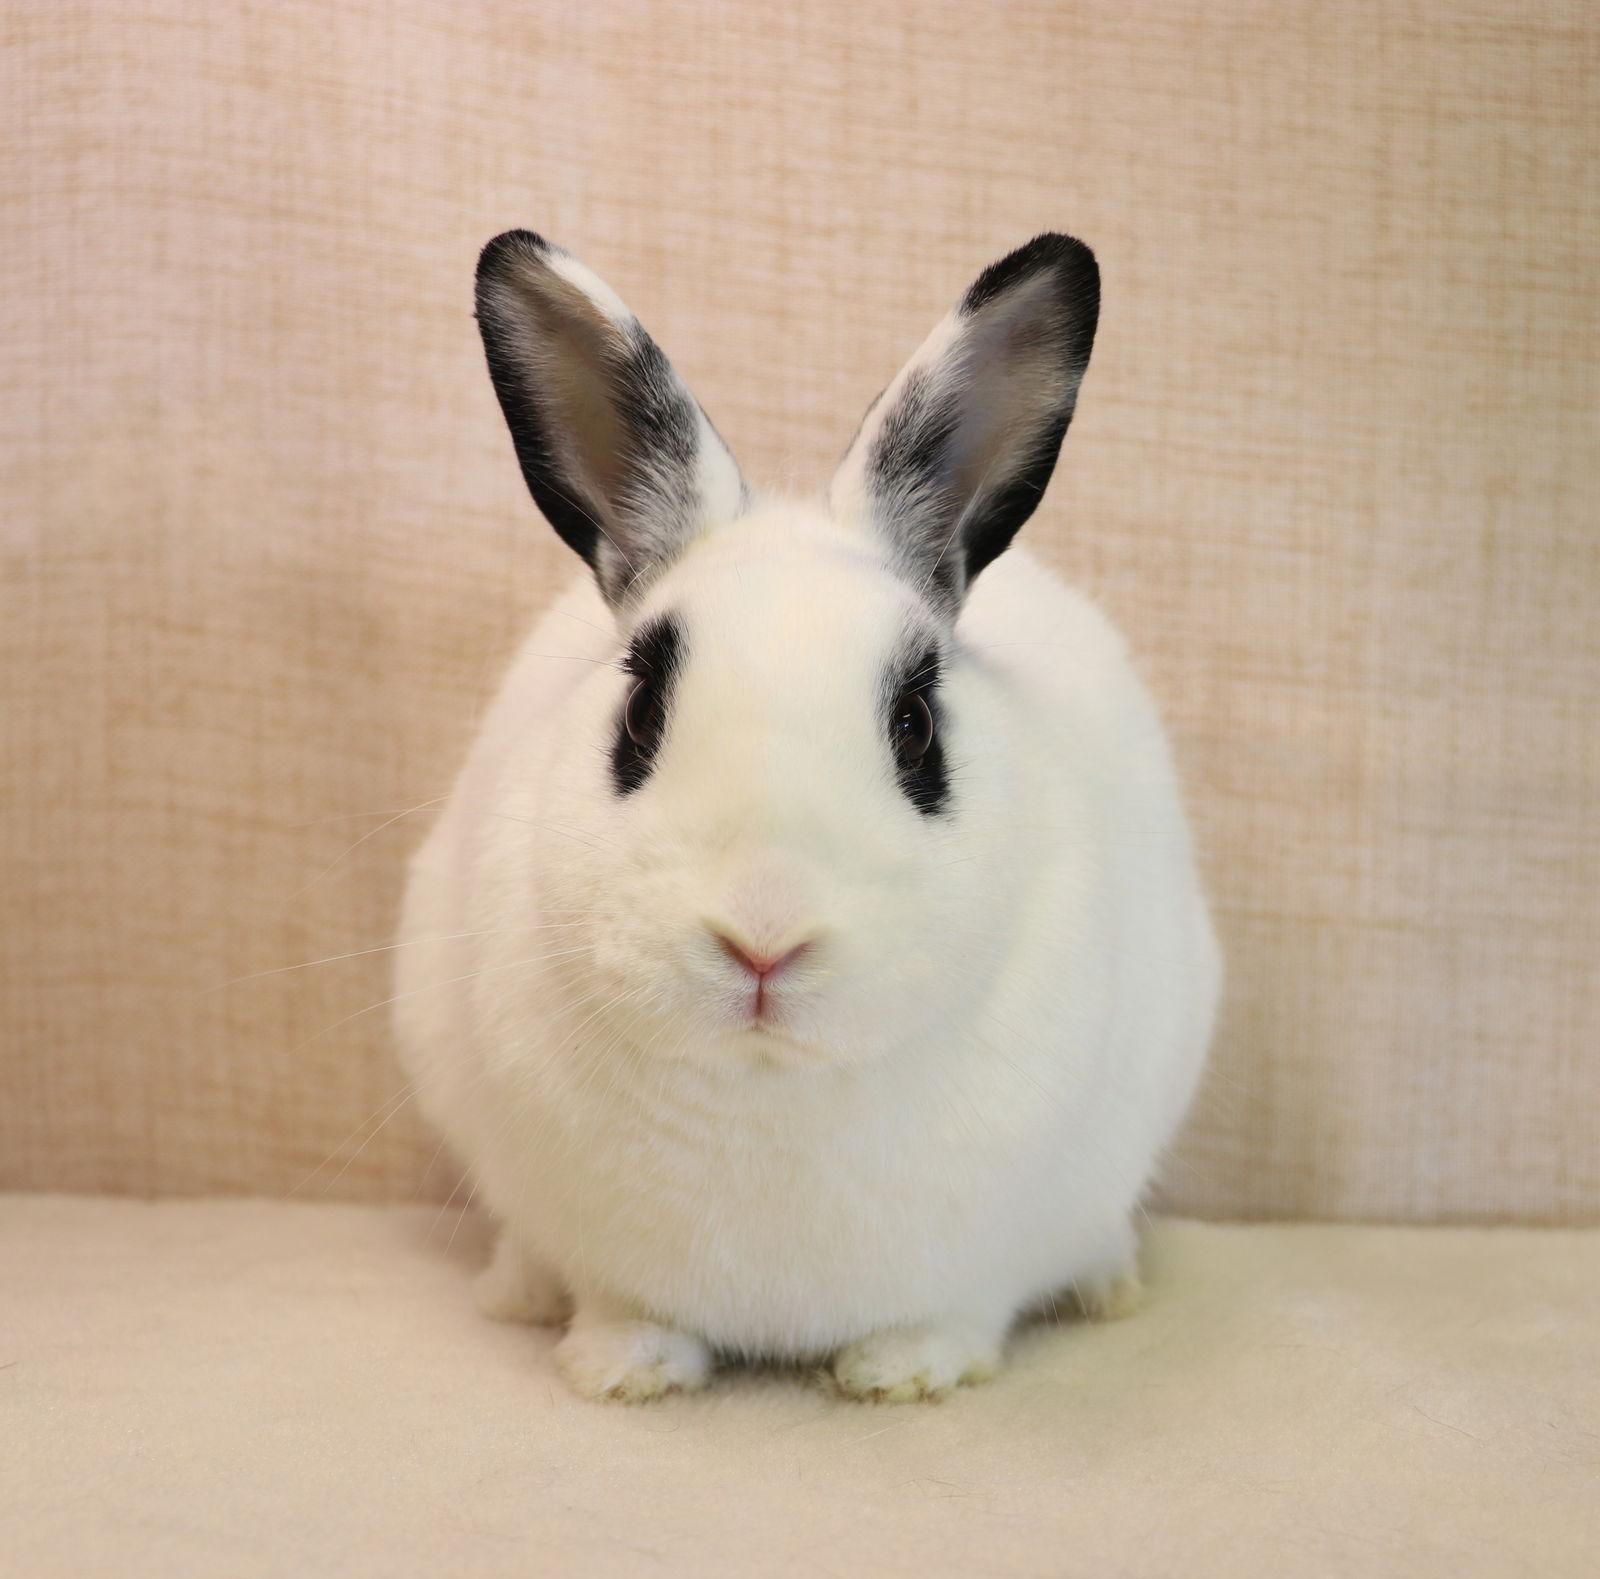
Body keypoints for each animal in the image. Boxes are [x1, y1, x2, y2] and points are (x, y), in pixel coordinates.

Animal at [394, 229, 1221, 1403]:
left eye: (916, 728)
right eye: (639, 715)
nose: (763, 937)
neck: (769, 1084)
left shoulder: (982, 1259)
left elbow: (956, 1315)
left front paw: (901, 1375)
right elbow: (629, 1306)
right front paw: (620, 1368)